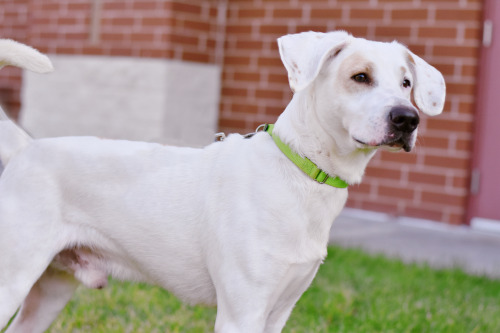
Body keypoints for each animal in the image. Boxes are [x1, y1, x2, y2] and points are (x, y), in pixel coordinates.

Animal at [0, 30, 446, 330]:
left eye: (406, 83)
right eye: (360, 77)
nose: (407, 119)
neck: (301, 173)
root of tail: (26, 147)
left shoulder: (279, 310)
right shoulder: (241, 311)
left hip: (51, 289)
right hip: (12, 278)